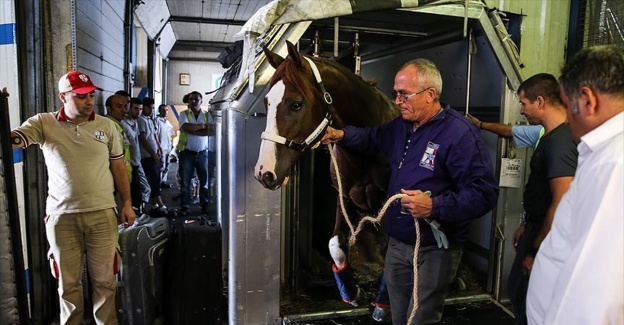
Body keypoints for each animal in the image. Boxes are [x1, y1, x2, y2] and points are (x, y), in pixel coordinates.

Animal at [254, 41, 400, 310]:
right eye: (267, 102)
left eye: (296, 104)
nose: (263, 172)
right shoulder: (344, 197)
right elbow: (335, 245)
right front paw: (352, 292)